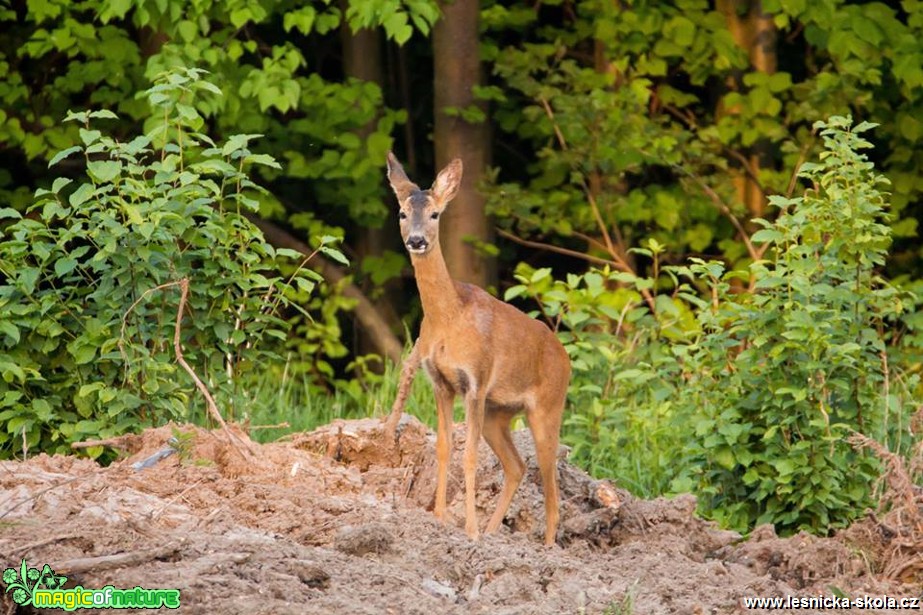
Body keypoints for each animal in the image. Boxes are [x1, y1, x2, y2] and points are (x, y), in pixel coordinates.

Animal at [382, 153, 572, 544]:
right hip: (500, 413)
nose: (417, 241)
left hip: (547, 406)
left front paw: (468, 530)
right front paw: (440, 519)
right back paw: (492, 531)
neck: (448, 319)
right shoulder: (440, 382)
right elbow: (442, 447)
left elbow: (468, 455)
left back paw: (545, 548)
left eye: (435, 214)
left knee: (551, 485)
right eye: (402, 213)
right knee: (516, 466)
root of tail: (565, 357)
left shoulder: (476, 381)